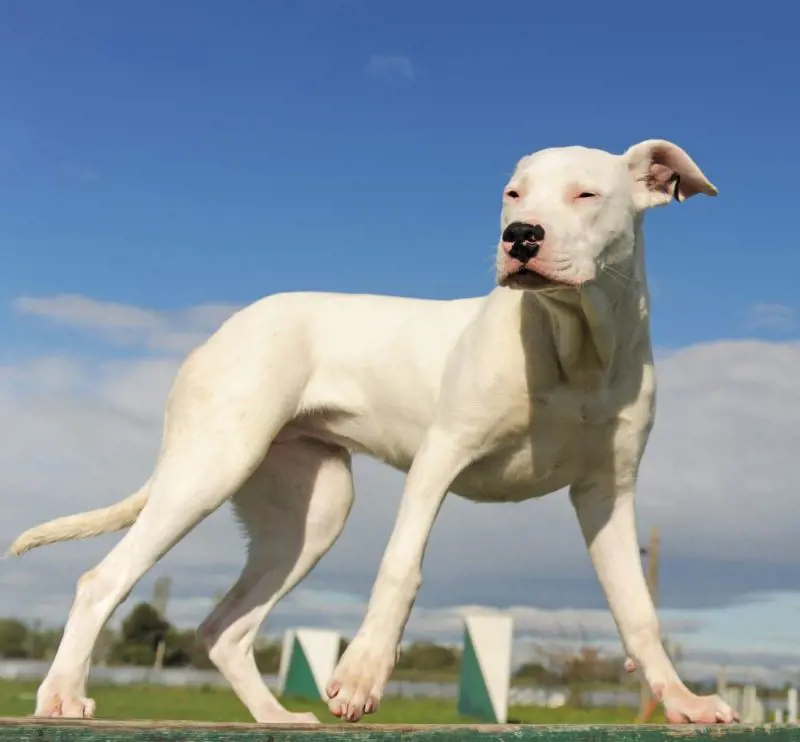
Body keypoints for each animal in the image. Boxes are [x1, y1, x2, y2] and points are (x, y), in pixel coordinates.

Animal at [7, 140, 736, 728]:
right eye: (513, 194)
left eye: (586, 194)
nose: (521, 236)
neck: (575, 348)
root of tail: (222, 331)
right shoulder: (439, 459)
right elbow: (399, 568)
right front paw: (361, 676)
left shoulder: (607, 495)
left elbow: (638, 610)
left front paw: (683, 702)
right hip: (211, 466)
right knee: (103, 579)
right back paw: (62, 695)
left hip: (311, 513)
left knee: (225, 627)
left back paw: (276, 717)